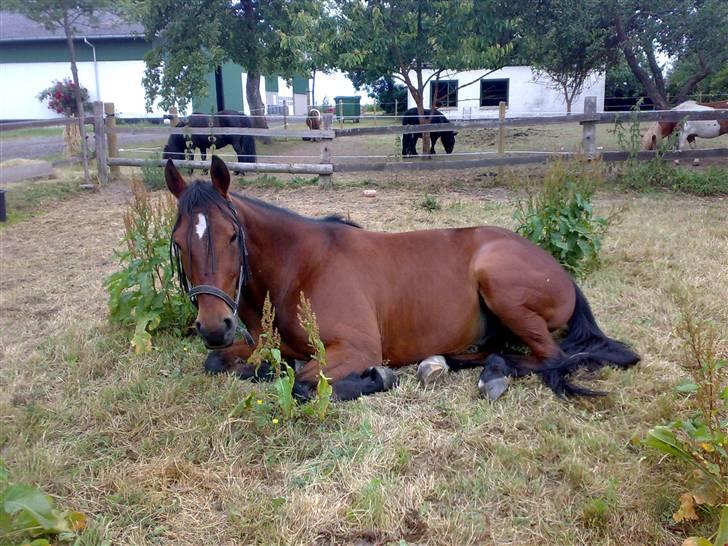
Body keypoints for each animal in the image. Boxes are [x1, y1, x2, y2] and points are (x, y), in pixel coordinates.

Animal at [166, 155, 644, 402]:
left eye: (232, 236)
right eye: (177, 242)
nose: (215, 326)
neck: (301, 267)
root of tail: (560, 273)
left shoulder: (355, 349)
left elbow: (305, 385)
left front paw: (379, 378)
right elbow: (220, 364)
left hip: (501, 285)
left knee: (553, 357)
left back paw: (491, 375)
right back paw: (451, 363)